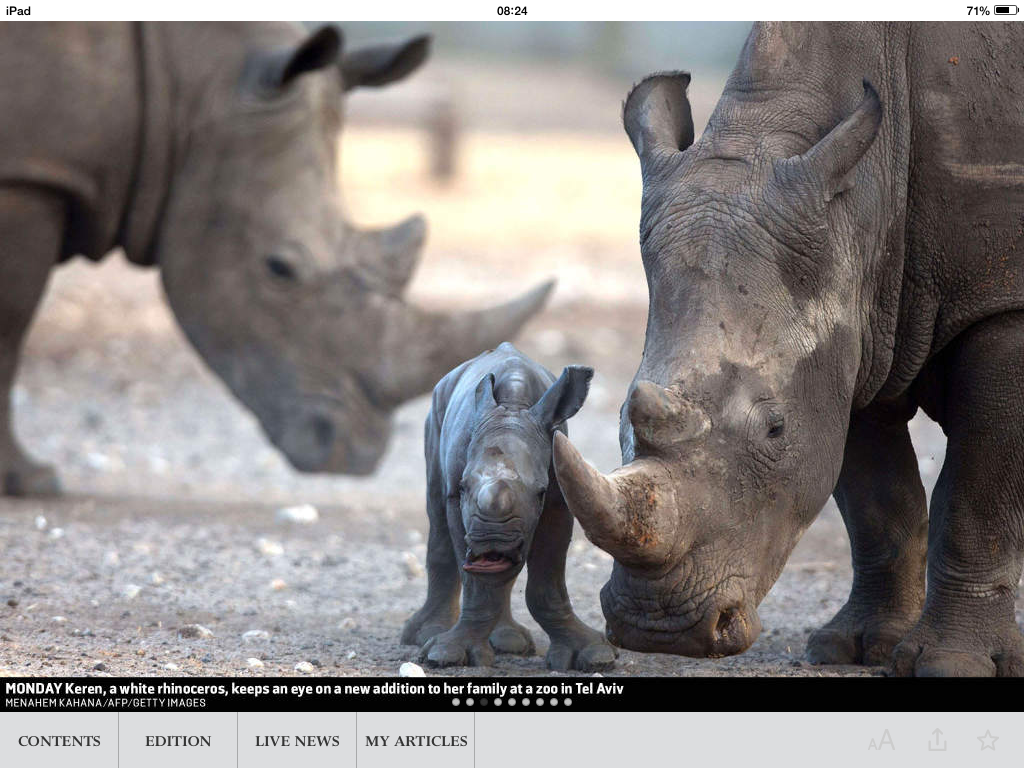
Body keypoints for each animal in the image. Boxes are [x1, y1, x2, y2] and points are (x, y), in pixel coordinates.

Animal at [0, 22, 551, 495]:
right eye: (279, 268)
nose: (353, 457)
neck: (184, 88)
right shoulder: (27, 177)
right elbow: (13, 326)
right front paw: (33, 482)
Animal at [553, 22, 1024, 676]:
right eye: (622, 412)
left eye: (774, 429)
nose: (660, 629)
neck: (864, 200)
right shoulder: (854, 327)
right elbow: (878, 498)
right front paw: (856, 648)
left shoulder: (1003, 302)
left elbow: (978, 495)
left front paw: (949, 664)